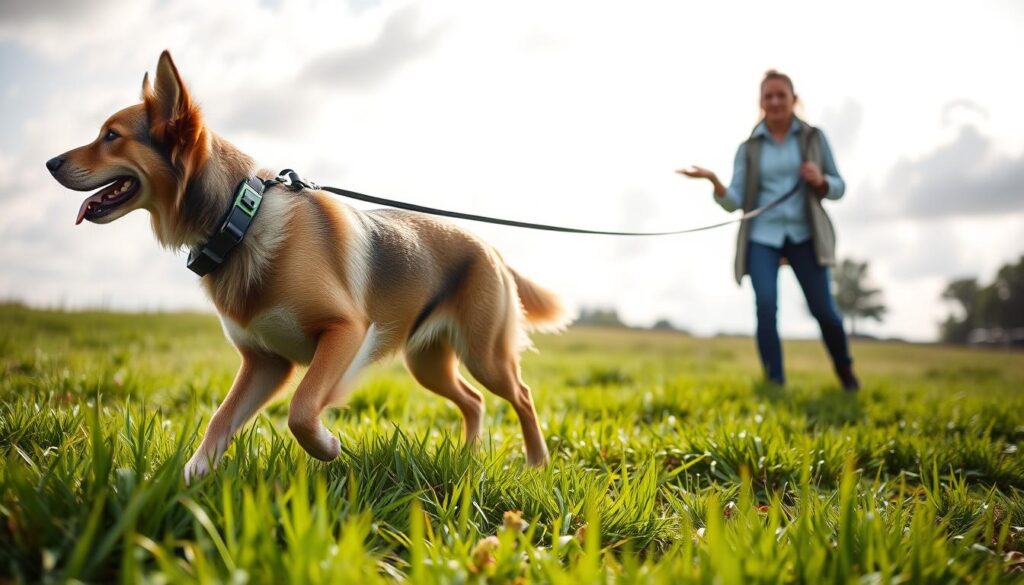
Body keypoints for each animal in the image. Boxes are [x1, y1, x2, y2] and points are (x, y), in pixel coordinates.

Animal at [46, 50, 569, 483]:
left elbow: (301, 410)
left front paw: (327, 447)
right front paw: (182, 486)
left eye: (111, 136)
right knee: (474, 402)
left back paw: (537, 462)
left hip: (485, 354)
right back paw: (466, 456)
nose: (50, 162)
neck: (240, 219)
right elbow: (220, 420)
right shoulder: (264, 363)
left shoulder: (344, 332)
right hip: (428, 362)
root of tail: (491, 248)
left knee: (521, 395)